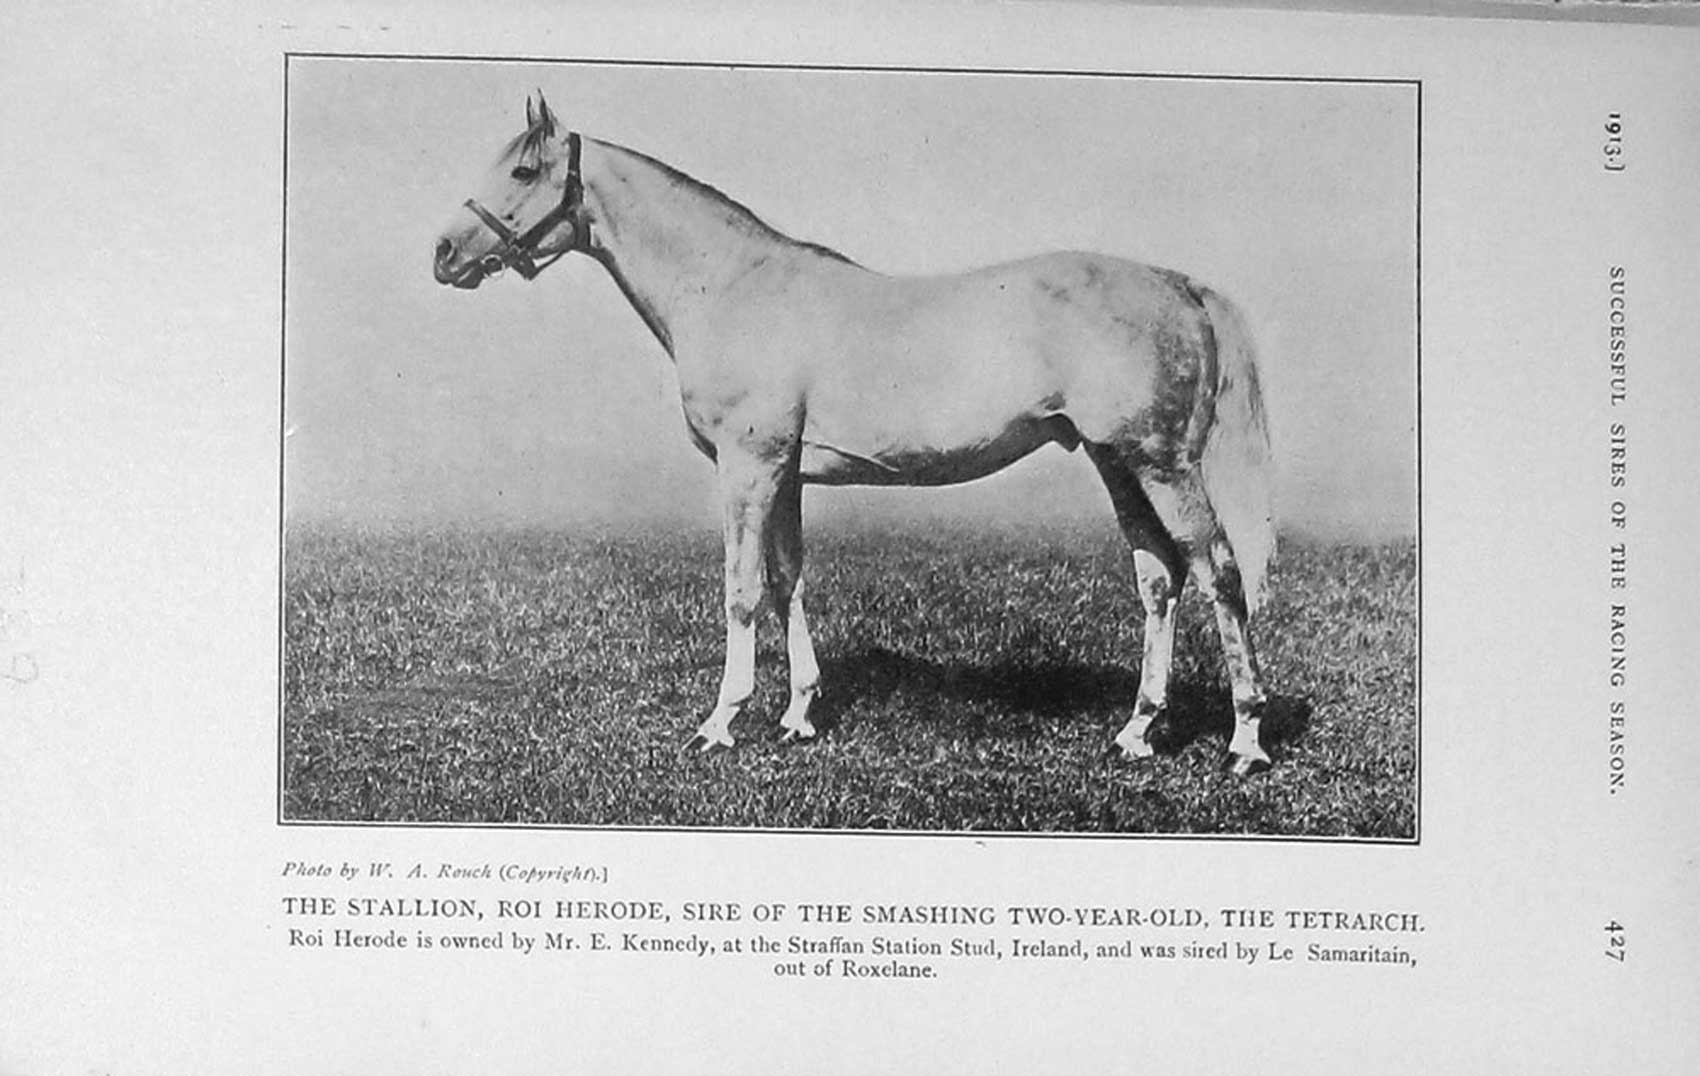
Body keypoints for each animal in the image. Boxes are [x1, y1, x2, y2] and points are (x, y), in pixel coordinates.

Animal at [433, 94, 1278, 774]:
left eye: (523, 170)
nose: (445, 254)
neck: (731, 285)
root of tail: (1178, 284)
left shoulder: (748, 466)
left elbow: (741, 590)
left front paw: (721, 721)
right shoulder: (785, 473)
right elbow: (787, 581)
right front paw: (800, 714)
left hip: (1163, 463)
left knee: (1220, 571)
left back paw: (1246, 740)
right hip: (1117, 461)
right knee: (1160, 577)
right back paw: (1137, 731)